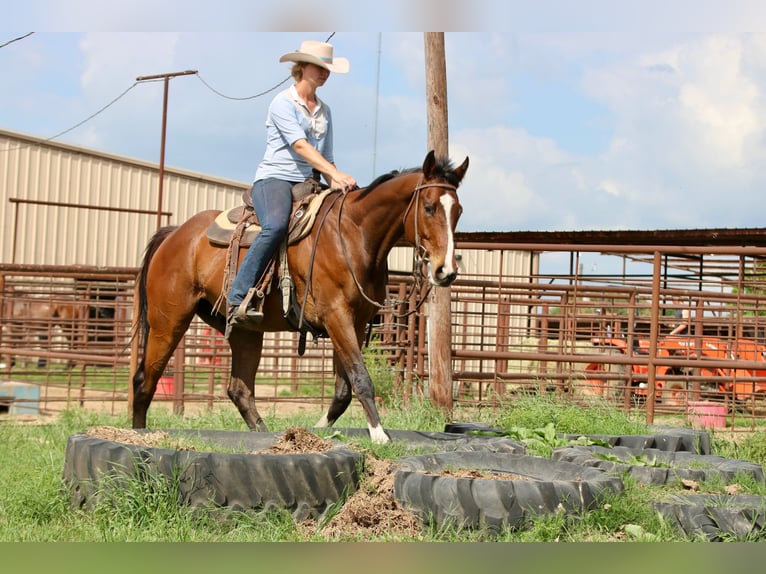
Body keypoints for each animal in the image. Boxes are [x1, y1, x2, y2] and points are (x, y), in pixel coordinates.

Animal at [130, 150, 468, 443]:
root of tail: (174, 234)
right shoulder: (336, 316)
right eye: (428, 207)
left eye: (459, 211)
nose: (446, 271)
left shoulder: (356, 324)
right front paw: (379, 436)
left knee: (239, 389)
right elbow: (361, 378)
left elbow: (343, 390)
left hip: (244, 332)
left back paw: (264, 434)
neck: (354, 233)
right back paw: (139, 435)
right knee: (144, 381)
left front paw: (316, 430)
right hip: (168, 321)